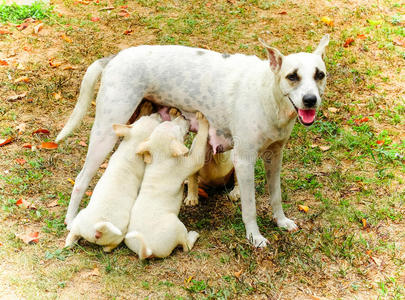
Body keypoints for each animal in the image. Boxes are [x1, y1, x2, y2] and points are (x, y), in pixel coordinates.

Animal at [124, 113, 208, 258]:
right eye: (178, 128)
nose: (183, 115)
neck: (160, 157)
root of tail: (147, 251)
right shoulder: (190, 163)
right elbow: (199, 147)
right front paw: (202, 119)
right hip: (177, 226)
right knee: (186, 246)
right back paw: (193, 235)